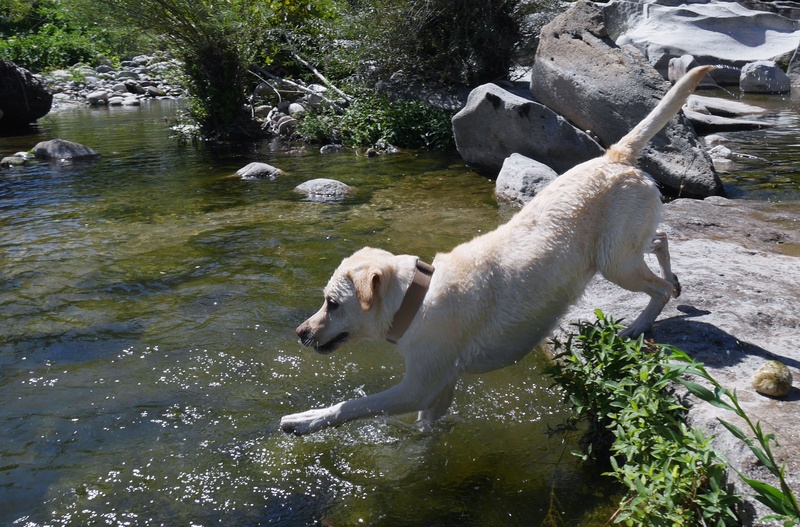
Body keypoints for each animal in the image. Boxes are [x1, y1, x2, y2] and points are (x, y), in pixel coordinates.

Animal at [282, 67, 712, 438]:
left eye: (332, 304)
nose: (299, 332)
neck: (416, 299)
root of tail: (614, 156)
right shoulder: (440, 389)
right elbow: (424, 428)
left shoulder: (418, 386)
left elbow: (353, 406)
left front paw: (302, 420)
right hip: (621, 250)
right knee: (660, 238)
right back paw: (673, 278)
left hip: (615, 263)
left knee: (656, 287)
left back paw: (639, 325)